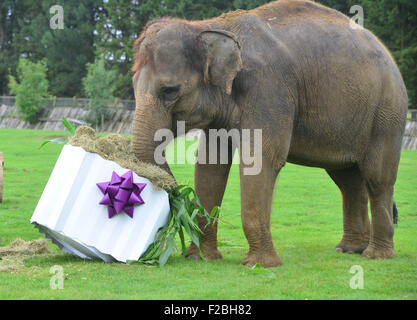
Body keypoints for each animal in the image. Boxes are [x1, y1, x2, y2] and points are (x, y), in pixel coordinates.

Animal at [130, 0, 406, 268]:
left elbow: (261, 159)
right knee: (347, 179)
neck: (209, 26)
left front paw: (260, 264)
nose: (176, 196)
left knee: (377, 178)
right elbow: (210, 164)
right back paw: (349, 249)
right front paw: (202, 258)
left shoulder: (269, 87)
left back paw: (376, 255)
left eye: (170, 90)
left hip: (387, 112)